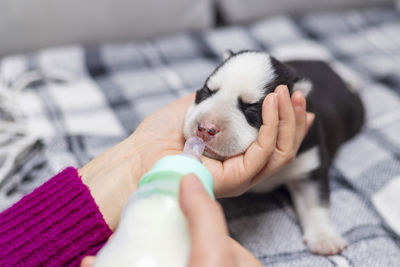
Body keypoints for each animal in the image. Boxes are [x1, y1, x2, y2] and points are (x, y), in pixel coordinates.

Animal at [183, 50, 364, 255]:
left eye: (252, 107)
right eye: (207, 91)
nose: (205, 128)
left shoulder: (309, 162)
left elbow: (314, 201)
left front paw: (324, 238)